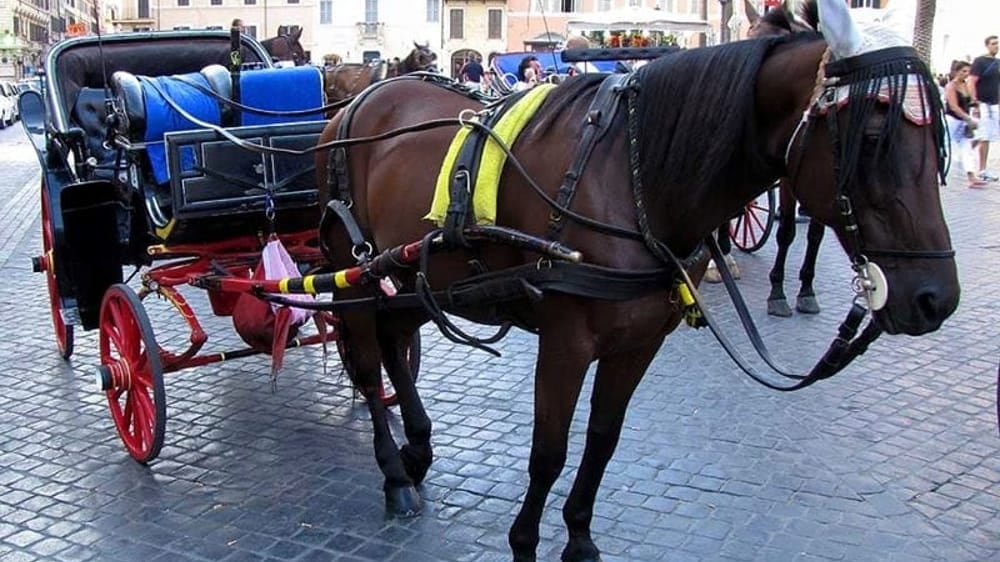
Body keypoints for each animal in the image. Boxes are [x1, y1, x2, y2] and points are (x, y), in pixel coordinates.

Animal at [314, 0, 959, 559]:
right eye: (871, 139)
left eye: (940, 141)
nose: (936, 299)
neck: (634, 177)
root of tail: (354, 104)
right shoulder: (566, 341)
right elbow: (548, 450)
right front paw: (525, 542)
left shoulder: (642, 340)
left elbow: (603, 437)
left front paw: (578, 535)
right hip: (353, 274)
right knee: (368, 364)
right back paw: (394, 475)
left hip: (406, 272)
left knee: (397, 344)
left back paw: (418, 447)